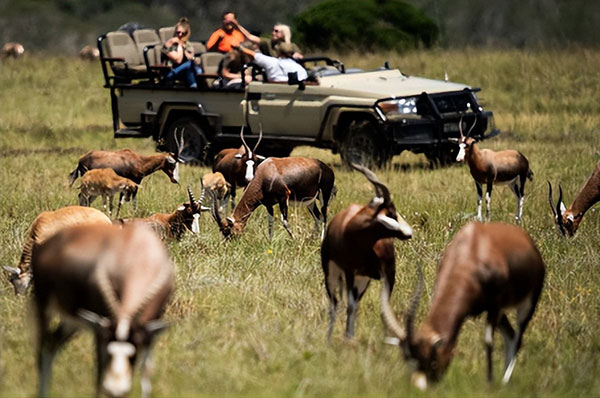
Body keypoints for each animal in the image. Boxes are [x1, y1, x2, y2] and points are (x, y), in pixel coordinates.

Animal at [30, 224, 173, 398]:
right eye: (110, 351)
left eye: (133, 355)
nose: (115, 389)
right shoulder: (101, 329)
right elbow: (99, 371)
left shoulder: (149, 328)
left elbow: (147, 369)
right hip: (43, 306)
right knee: (42, 350)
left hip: (72, 322)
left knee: (52, 344)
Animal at [322, 163, 414, 340]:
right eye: (392, 214)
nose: (409, 232)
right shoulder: (350, 271)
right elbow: (349, 305)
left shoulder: (388, 274)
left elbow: (385, 308)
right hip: (334, 276)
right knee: (335, 304)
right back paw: (331, 338)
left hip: (363, 280)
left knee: (353, 303)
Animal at [382, 222, 548, 390]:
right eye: (409, 362)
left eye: (433, 362)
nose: (427, 387)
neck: (471, 250)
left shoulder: (495, 304)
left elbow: (488, 341)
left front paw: (489, 382)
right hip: (500, 314)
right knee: (511, 335)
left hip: (526, 303)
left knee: (518, 338)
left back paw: (504, 382)